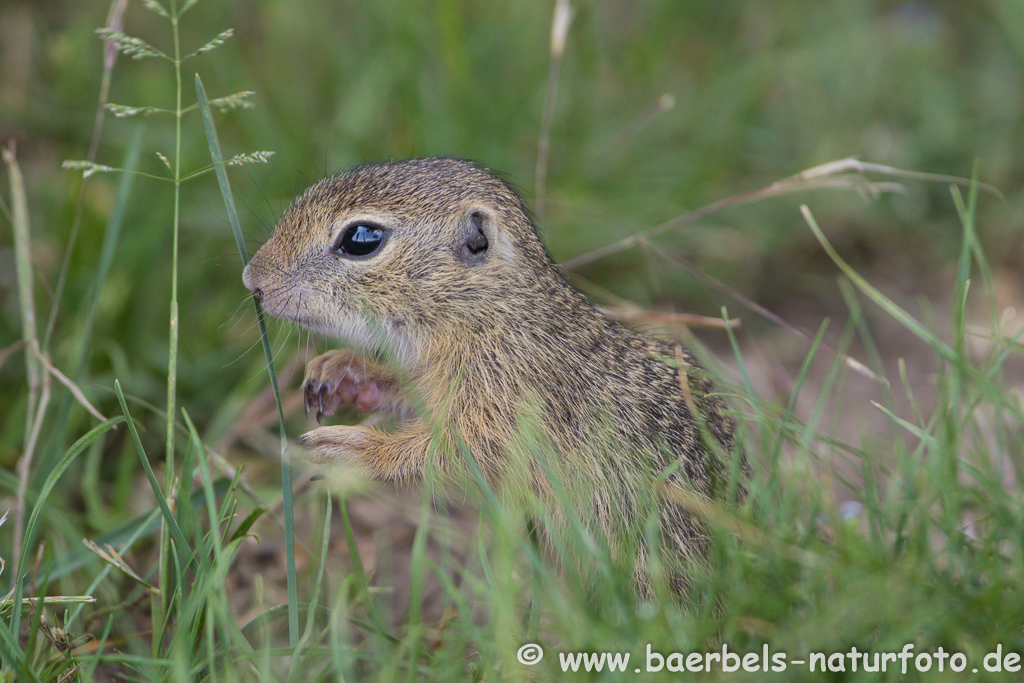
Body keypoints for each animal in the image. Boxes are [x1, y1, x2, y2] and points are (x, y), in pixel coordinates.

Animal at [243, 157, 749, 589]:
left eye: (362, 239)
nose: (253, 280)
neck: (490, 313)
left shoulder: (508, 405)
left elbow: (456, 452)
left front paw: (353, 449)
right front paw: (341, 371)